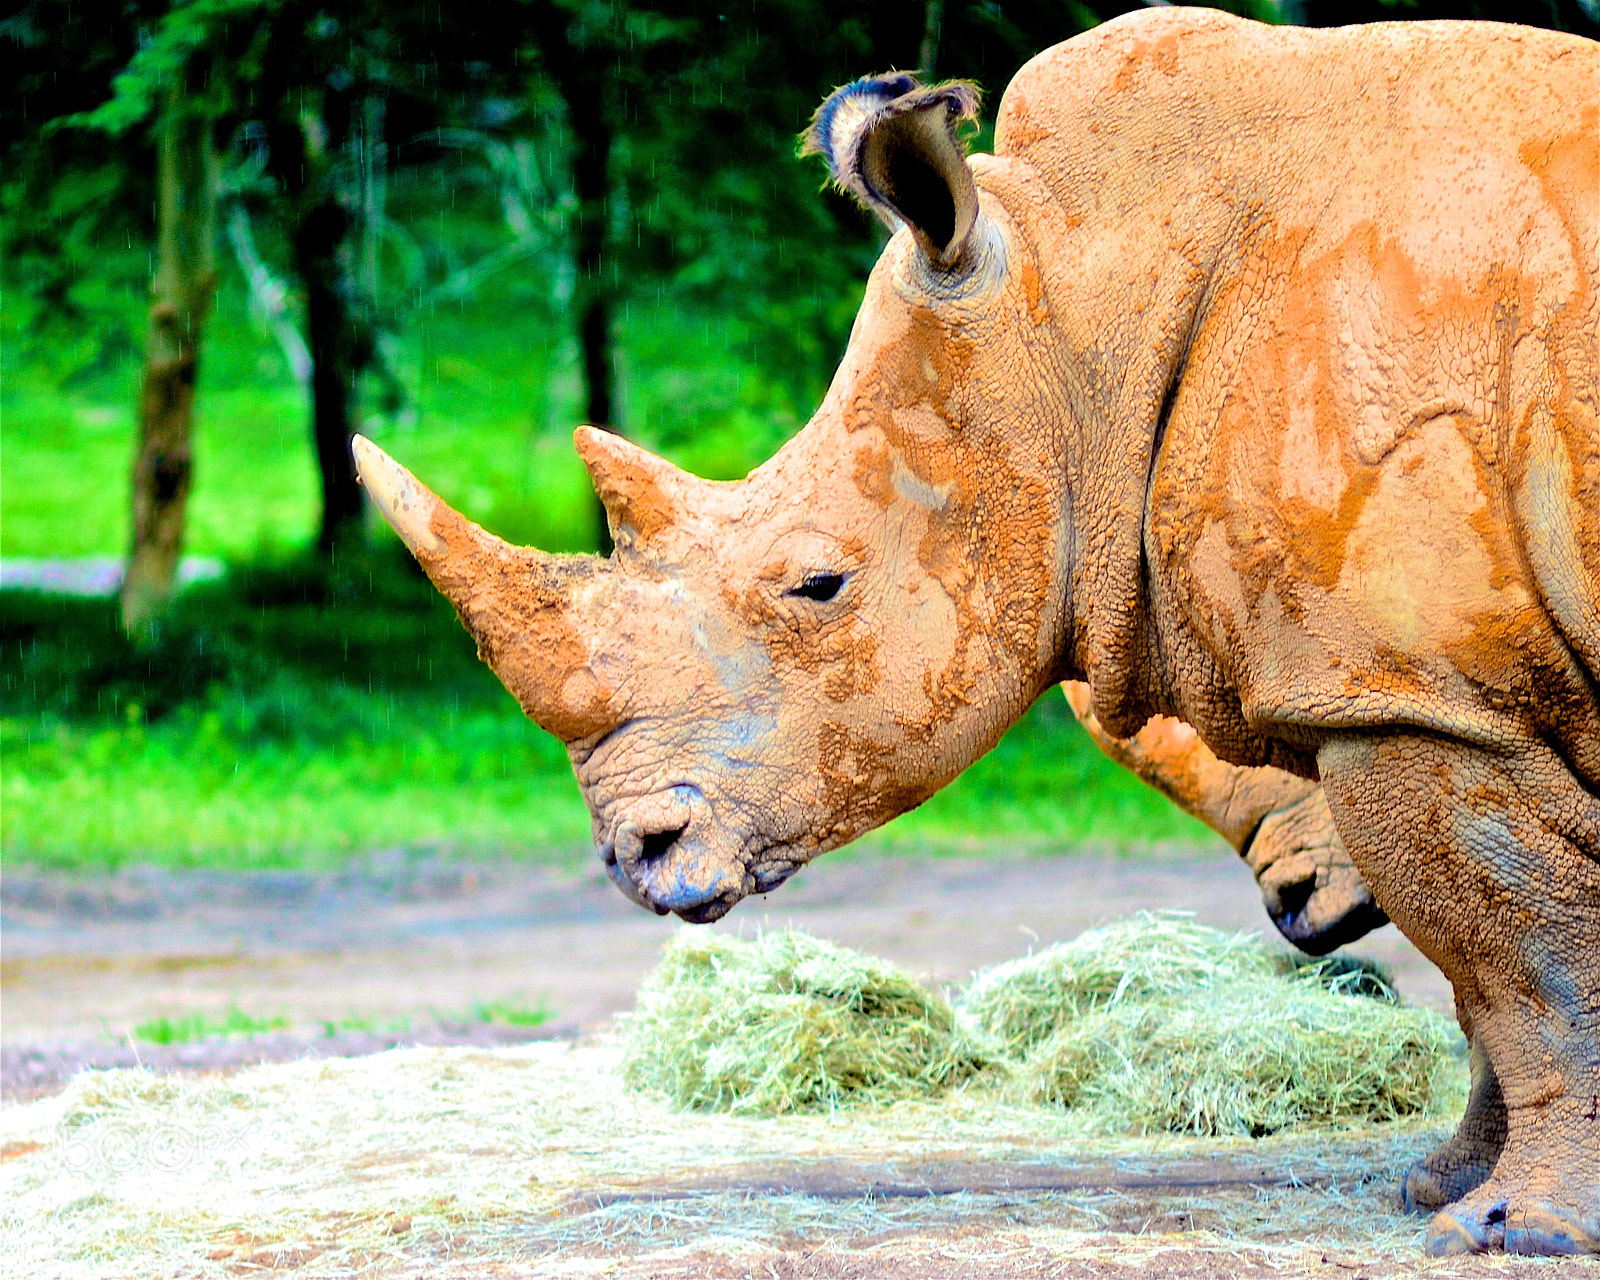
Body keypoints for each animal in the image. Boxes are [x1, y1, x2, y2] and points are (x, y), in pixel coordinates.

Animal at [351, 7, 1598, 1255]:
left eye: (818, 583)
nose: (635, 856)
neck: (1077, 311)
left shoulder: (1421, 697)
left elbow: (1526, 965)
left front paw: (1513, 1228)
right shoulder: (1423, 688)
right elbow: (1496, 977)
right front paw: (1443, 1190)